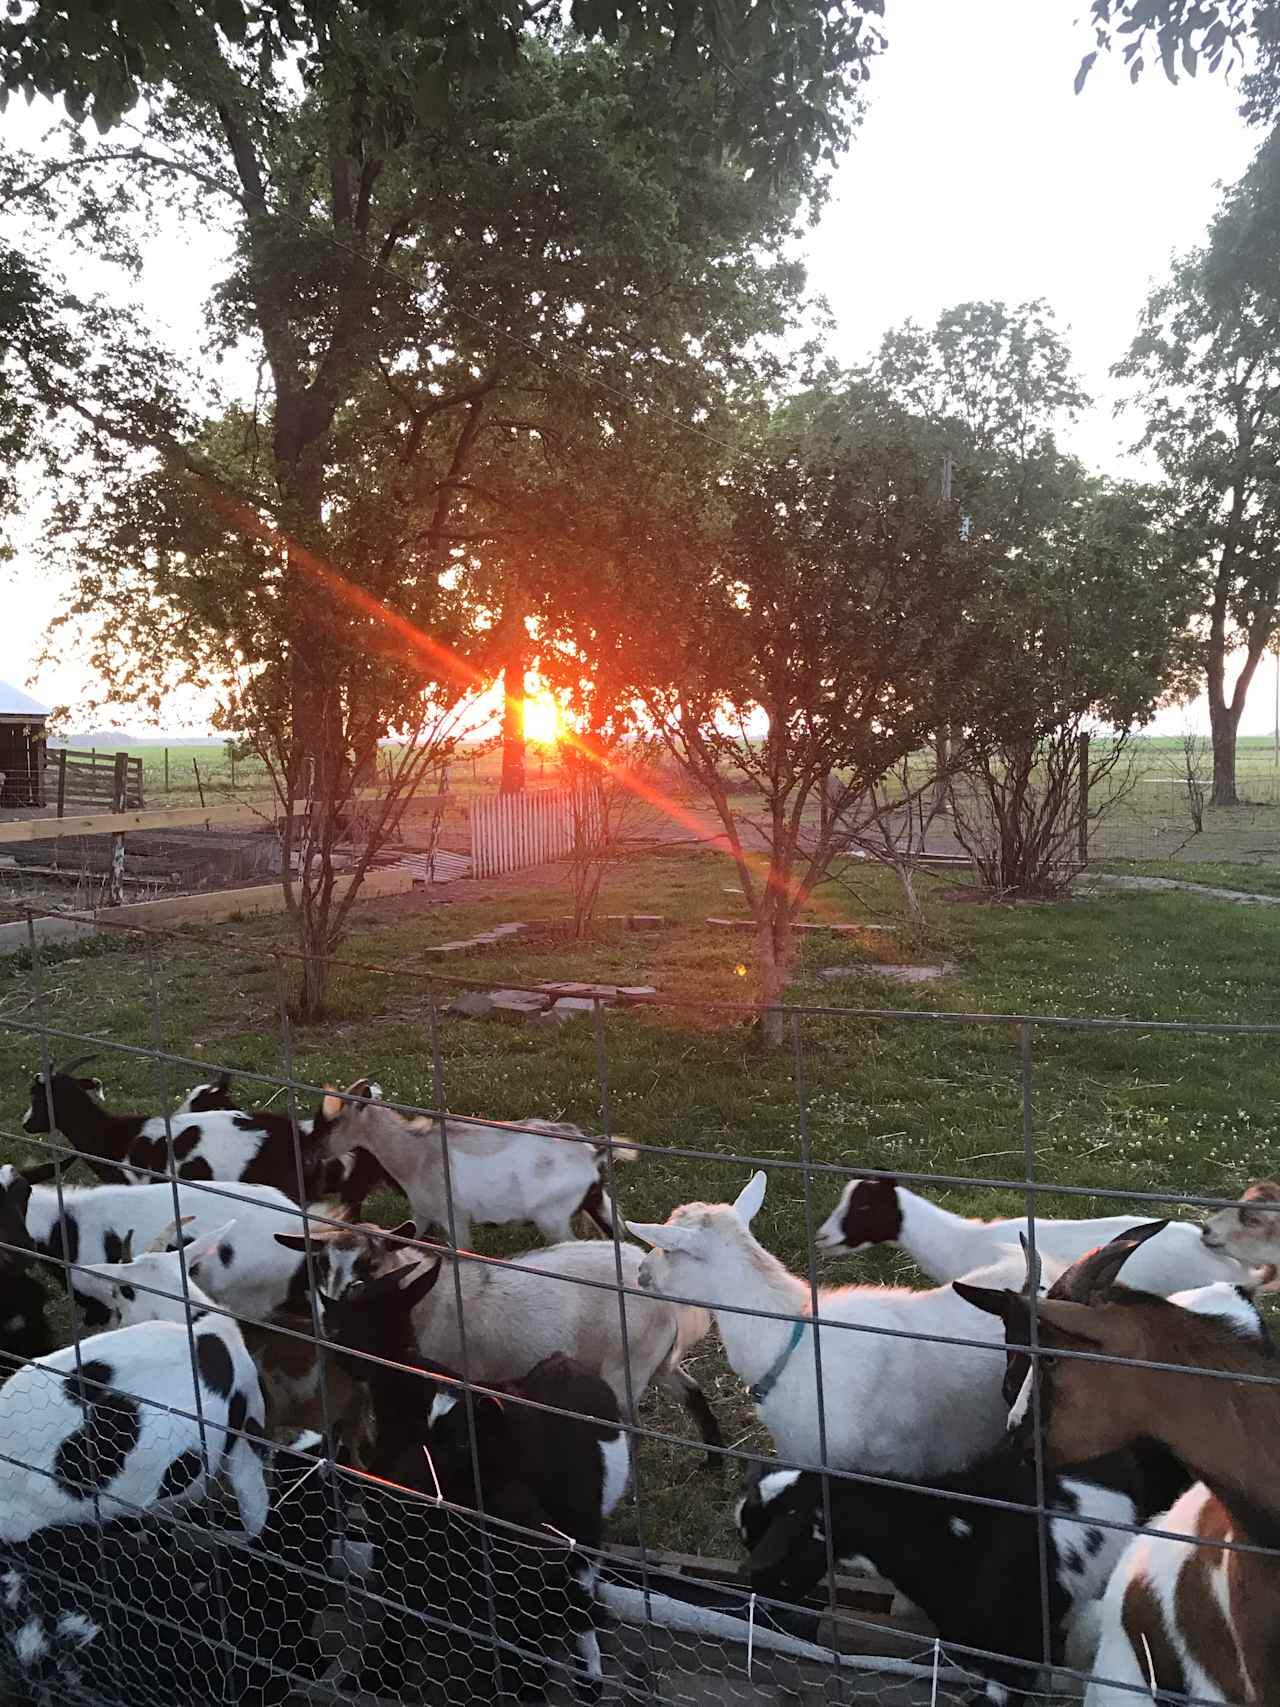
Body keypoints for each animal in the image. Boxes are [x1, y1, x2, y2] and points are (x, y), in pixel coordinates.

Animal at [310, 1085, 631, 1249]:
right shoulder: (422, 1214)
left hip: (553, 1218)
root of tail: (593, 1154)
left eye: (331, 1120)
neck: (415, 1154)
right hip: (598, 1204)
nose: (315, 1150)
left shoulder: (455, 1218)